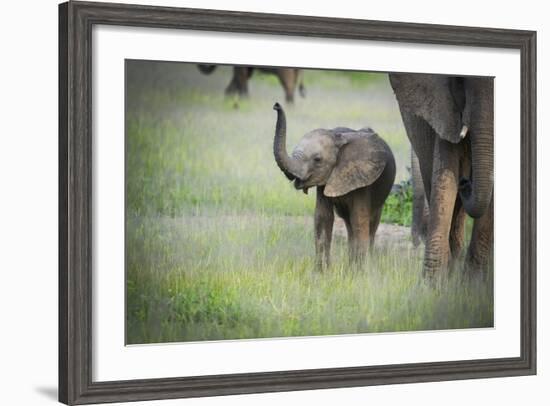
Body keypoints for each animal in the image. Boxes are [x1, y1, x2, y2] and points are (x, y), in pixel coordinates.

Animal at [272, 103, 396, 268]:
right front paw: (321, 271)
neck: (336, 137)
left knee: (371, 223)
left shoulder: (363, 179)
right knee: (348, 223)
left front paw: (359, 272)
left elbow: (359, 219)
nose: (276, 106)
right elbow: (323, 218)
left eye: (317, 159)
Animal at [390, 73, 498, 278]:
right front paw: (432, 283)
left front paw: (475, 282)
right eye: (460, 81)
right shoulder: (444, 110)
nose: (465, 182)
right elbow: (445, 178)